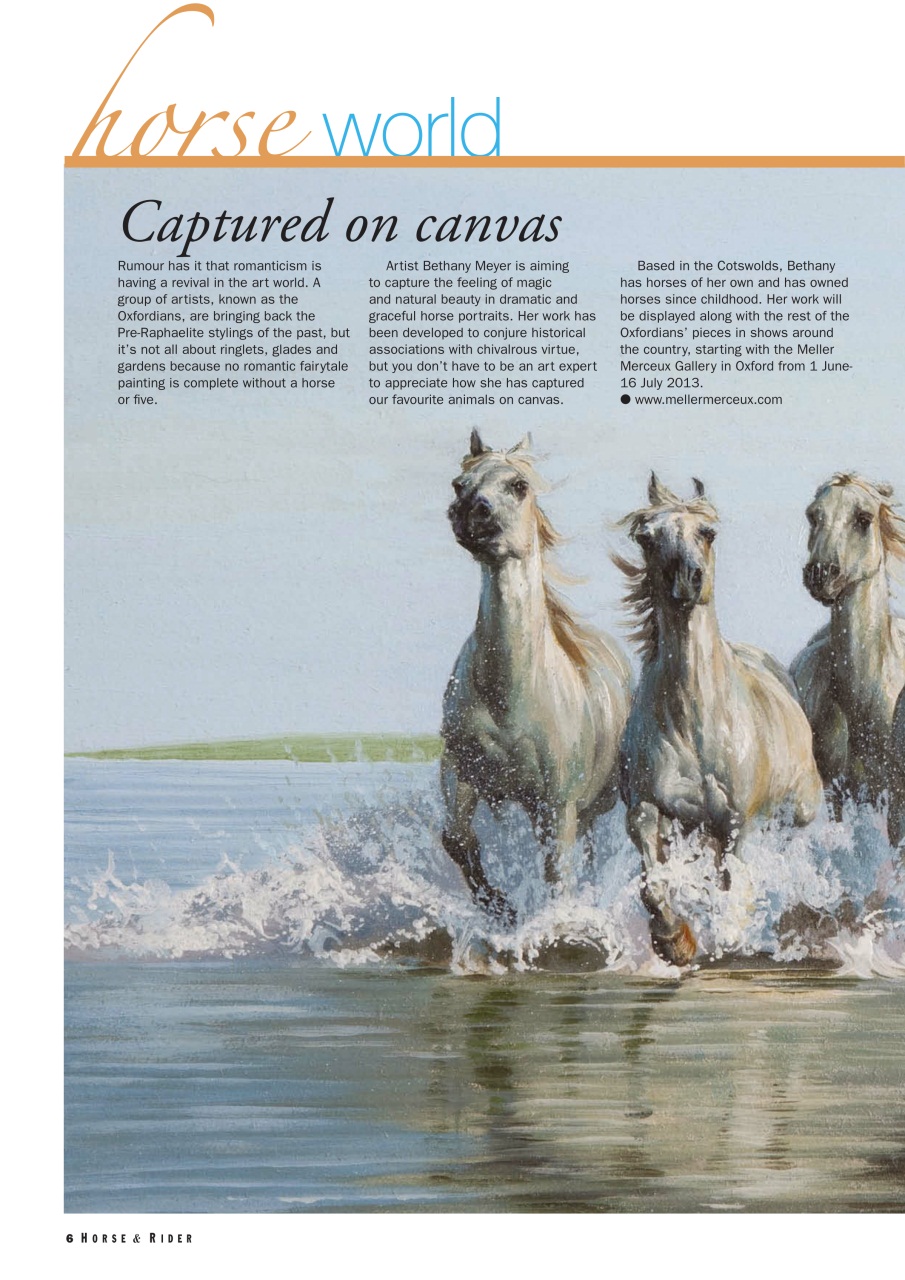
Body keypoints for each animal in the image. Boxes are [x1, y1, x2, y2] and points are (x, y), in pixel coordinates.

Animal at [440, 431, 632, 922]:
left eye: (519, 486)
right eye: (458, 484)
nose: (470, 511)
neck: (510, 697)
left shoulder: (558, 805)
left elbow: (557, 877)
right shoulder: (459, 772)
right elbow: (457, 840)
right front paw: (501, 909)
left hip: (590, 805)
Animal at [616, 474, 823, 966]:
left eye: (707, 533)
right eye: (647, 537)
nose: (689, 579)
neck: (693, 720)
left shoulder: (734, 825)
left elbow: (732, 894)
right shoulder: (648, 809)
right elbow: (655, 883)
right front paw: (674, 940)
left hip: (796, 812)